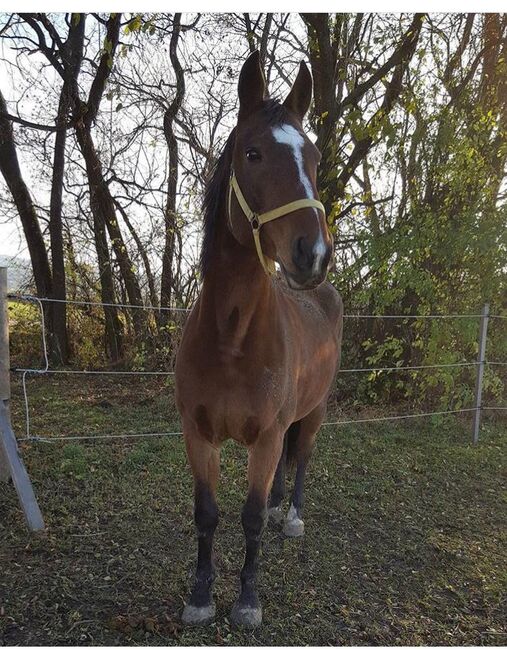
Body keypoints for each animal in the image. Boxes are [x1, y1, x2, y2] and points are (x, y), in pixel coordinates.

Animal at [176, 52, 346, 628]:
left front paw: (247, 600)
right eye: (253, 153)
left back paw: (289, 517)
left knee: (304, 460)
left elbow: (248, 518)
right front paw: (201, 595)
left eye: (313, 158)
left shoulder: (267, 436)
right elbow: (207, 514)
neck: (232, 338)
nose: (313, 254)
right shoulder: (199, 435)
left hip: (313, 414)